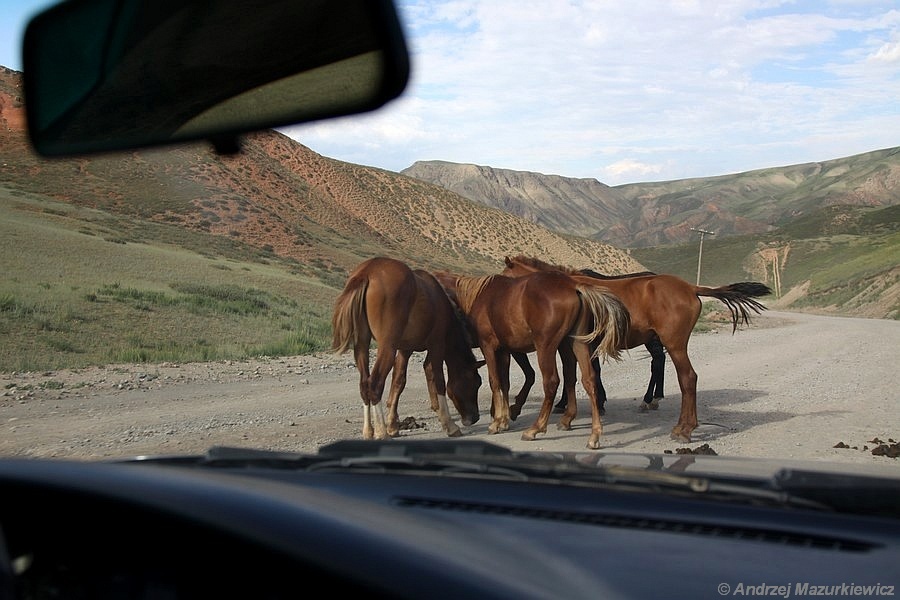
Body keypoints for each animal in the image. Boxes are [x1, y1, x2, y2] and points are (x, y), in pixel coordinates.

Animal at [332, 255, 486, 438]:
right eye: (475, 383)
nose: (475, 418)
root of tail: (367, 272)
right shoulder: (436, 346)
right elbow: (438, 381)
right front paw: (449, 424)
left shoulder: (405, 350)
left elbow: (399, 381)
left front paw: (393, 425)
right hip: (387, 348)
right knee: (374, 385)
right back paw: (380, 431)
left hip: (362, 344)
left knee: (364, 385)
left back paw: (368, 431)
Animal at [432, 270, 628, 448]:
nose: (471, 419)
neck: (479, 296)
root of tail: (574, 286)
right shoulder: (504, 350)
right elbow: (505, 383)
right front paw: (504, 420)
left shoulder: (488, 346)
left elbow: (495, 381)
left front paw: (496, 422)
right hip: (576, 343)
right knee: (588, 380)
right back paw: (593, 435)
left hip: (546, 347)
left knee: (551, 382)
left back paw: (535, 429)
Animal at [500, 255, 772, 442]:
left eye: (504, 277)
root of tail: (691, 288)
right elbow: (576, 375)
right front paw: (572, 412)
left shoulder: (568, 344)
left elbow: (573, 377)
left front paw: (566, 411)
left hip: (674, 344)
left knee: (687, 378)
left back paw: (682, 428)